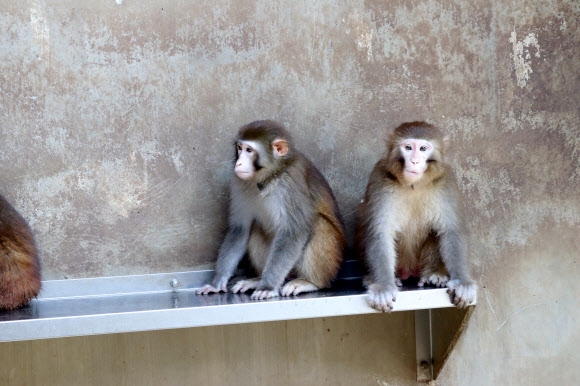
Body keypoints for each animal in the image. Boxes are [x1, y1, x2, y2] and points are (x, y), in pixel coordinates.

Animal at [197, 119, 346, 300]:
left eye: (249, 150)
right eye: (240, 148)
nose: (239, 163)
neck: (270, 176)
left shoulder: (290, 185)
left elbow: (293, 232)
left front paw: (267, 286)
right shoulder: (239, 182)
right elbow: (240, 229)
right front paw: (217, 282)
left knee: (318, 223)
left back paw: (310, 282)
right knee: (256, 228)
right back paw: (257, 279)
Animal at [356, 122, 478, 312]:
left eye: (422, 148)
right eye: (408, 148)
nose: (414, 161)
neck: (414, 185)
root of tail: (409, 271)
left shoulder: (446, 180)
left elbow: (451, 230)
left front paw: (462, 282)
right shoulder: (379, 177)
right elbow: (380, 232)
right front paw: (383, 286)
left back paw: (435, 273)